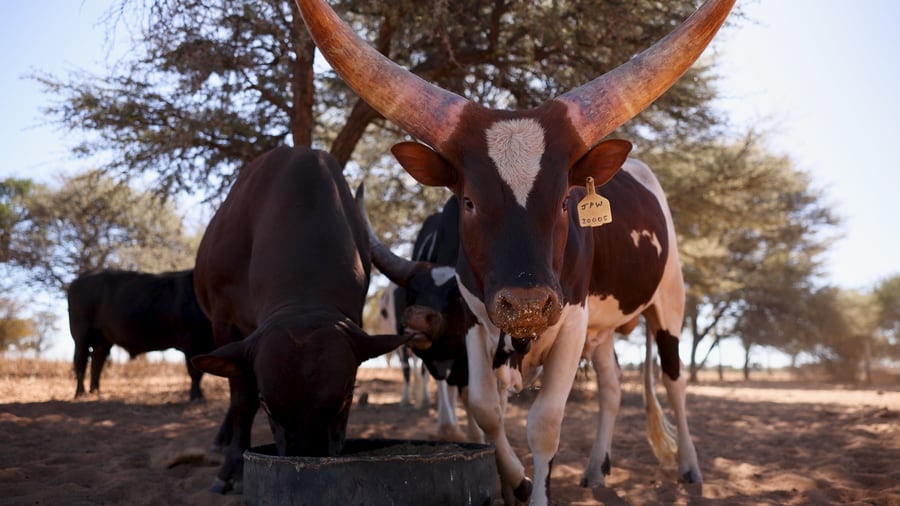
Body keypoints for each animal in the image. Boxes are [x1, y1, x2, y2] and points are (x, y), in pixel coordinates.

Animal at [66, 268, 214, 401]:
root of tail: (77, 281)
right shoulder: (192, 342)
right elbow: (195, 373)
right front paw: (196, 396)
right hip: (81, 336)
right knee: (80, 361)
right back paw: (80, 393)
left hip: (102, 340)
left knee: (97, 362)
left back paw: (96, 392)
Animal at [190, 146, 409, 494]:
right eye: (267, 404)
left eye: (347, 396)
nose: (308, 457)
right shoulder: (225, 322)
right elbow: (241, 399)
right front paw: (232, 468)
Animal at [295, 1, 733, 503]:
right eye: (468, 201)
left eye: (564, 200)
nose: (526, 305)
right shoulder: (475, 321)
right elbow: (487, 411)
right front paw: (515, 482)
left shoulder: (572, 320)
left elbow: (544, 424)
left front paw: (536, 489)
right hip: (602, 331)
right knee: (611, 386)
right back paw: (595, 470)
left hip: (669, 302)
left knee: (674, 380)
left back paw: (689, 468)